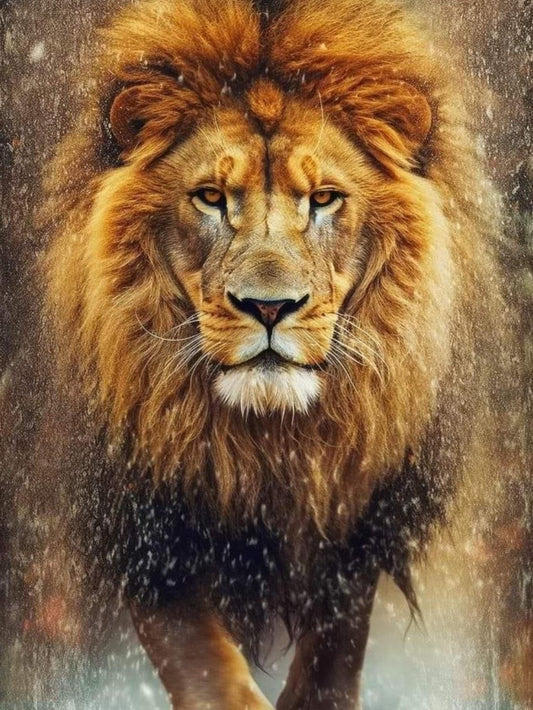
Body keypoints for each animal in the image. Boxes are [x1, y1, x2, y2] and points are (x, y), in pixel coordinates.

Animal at [0, 0, 521, 706]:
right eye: (211, 197)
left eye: (324, 198)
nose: (269, 308)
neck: (265, 442)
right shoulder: (139, 523)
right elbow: (203, 663)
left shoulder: (356, 496)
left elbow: (334, 646)